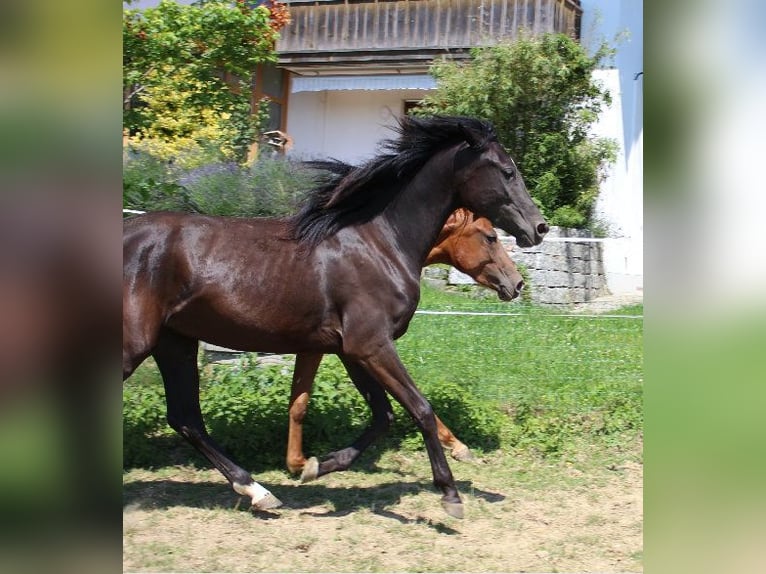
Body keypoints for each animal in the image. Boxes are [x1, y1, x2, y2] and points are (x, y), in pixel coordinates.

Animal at [284, 205, 524, 480]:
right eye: (491, 237)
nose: (518, 282)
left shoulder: (330, 348)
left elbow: (299, 403)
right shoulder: (370, 348)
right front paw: (459, 447)